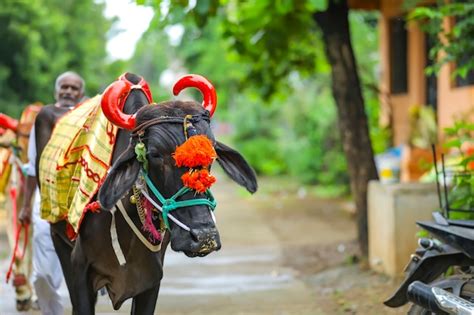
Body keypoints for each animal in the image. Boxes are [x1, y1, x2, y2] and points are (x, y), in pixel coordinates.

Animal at [42, 73, 258, 314]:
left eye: (211, 155)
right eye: (155, 154)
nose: (204, 237)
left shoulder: (151, 276)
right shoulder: (80, 268)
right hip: (57, 237)